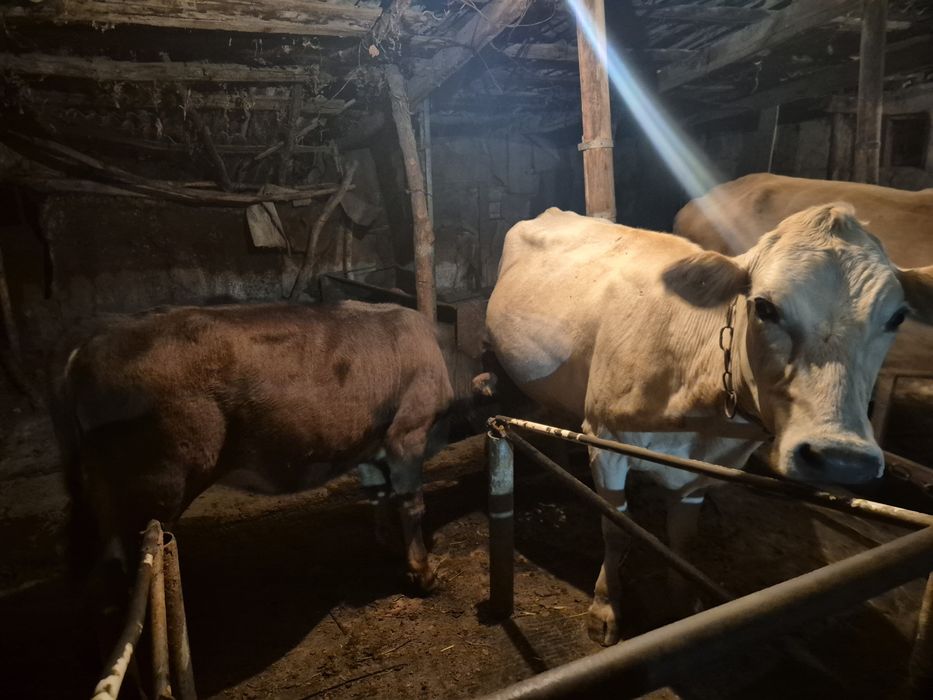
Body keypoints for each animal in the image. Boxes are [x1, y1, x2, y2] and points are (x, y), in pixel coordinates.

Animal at [51, 300, 454, 598]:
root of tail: (86, 346)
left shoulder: (373, 440)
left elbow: (379, 495)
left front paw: (389, 546)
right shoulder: (408, 430)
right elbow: (411, 502)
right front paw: (423, 573)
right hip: (150, 488)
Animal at [485, 204, 933, 646]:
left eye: (897, 317)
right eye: (764, 306)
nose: (841, 458)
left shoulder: (706, 469)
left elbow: (683, 536)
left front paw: (683, 605)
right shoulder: (606, 440)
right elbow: (616, 527)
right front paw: (605, 609)